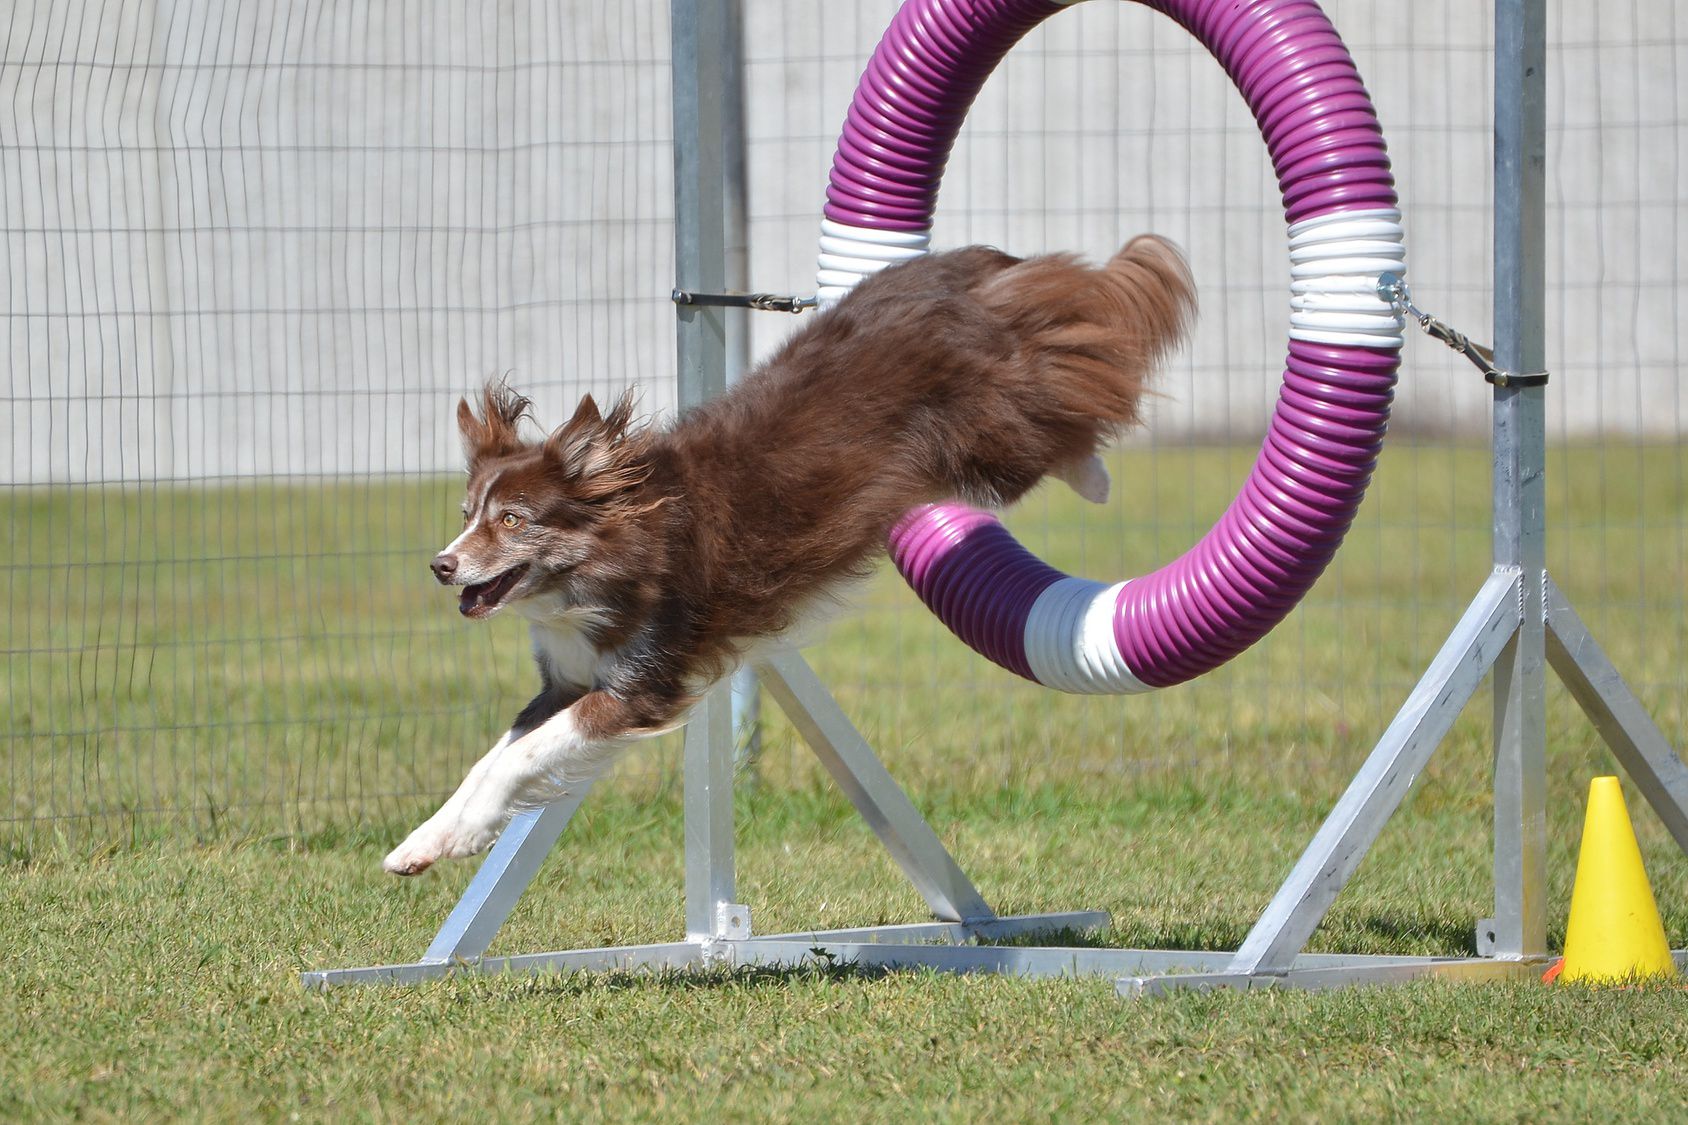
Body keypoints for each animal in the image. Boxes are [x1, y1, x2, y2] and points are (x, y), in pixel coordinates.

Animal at [386, 236, 1195, 871]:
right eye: (467, 515)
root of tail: (965, 266)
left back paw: (1096, 475)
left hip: (987, 433)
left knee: (1070, 399)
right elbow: (490, 759)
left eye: (513, 520)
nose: (440, 565)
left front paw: (450, 836)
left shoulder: (640, 684)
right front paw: (426, 842)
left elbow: (523, 757)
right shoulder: (565, 678)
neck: (601, 566)